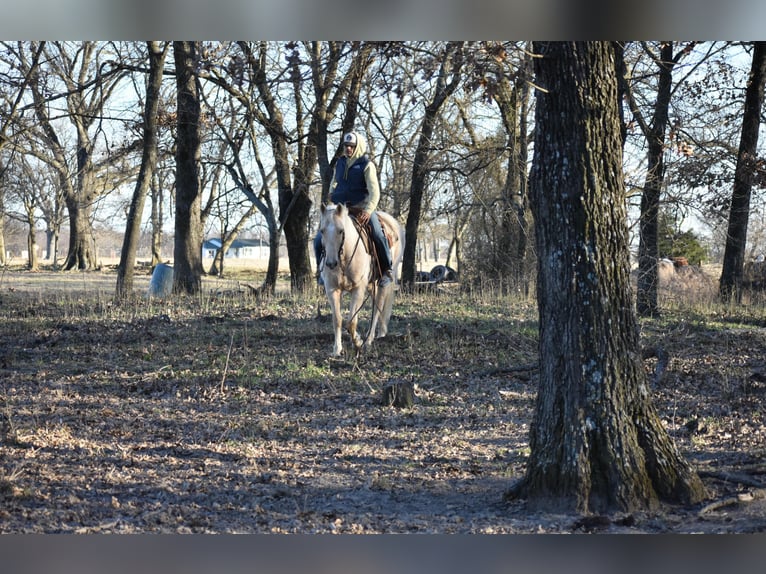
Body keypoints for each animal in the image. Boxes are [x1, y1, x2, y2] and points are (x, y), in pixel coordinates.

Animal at [318, 203, 405, 357]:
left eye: (341, 231)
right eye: (322, 231)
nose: (331, 263)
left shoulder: (358, 289)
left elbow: (352, 321)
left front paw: (358, 343)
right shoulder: (332, 289)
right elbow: (337, 319)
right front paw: (337, 349)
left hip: (382, 284)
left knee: (377, 310)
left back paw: (369, 340)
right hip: (371, 285)